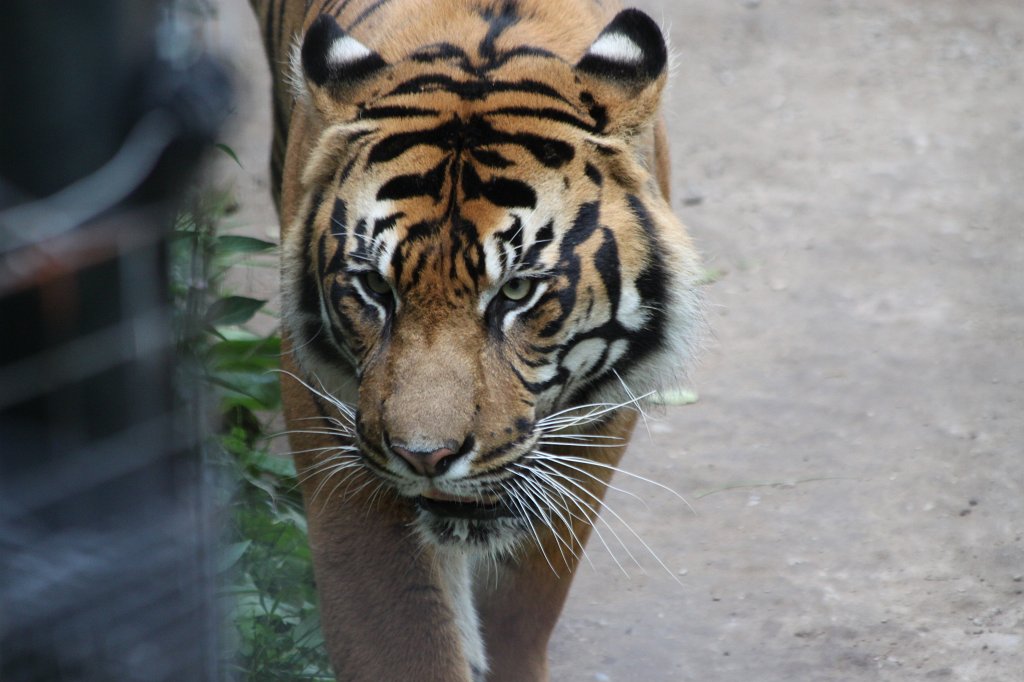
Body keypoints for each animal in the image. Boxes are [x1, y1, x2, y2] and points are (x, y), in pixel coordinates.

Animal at [247, 0, 705, 679]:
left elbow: (523, 607)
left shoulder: (593, 429)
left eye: (515, 293)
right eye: (375, 288)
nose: (425, 458)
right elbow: (401, 639)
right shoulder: (338, 433)